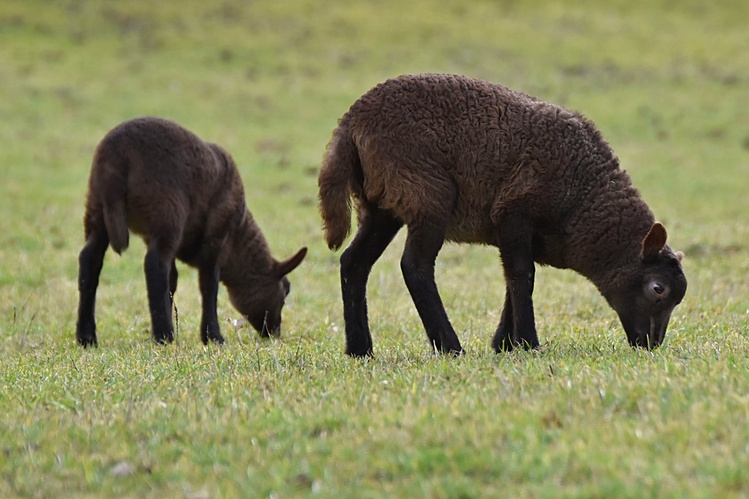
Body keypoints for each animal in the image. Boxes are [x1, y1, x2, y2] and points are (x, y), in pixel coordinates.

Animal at [76, 116, 306, 348]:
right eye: (285, 291)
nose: (275, 332)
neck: (238, 240)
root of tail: (117, 153)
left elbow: (173, 280)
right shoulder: (216, 236)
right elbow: (209, 283)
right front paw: (213, 336)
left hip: (97, 206)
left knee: (90, 260)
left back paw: (86, 337)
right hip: (167, 211)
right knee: (154, 265)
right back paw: (165, 335)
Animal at [318, 72, 688, 358]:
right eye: (658, 289)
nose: (652, 344)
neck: (584, 199)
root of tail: (351, 121)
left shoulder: (520, 232)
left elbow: (514, 279)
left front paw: (505, 344)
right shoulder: (514, 212)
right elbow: (523, 276)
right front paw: (527, 343)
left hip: (381, 204)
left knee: (354, 262)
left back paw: (360, 349)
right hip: (425, 192)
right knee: (415, 267)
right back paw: (449, 346)